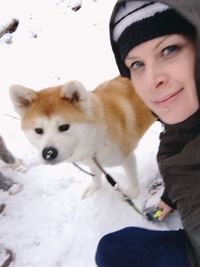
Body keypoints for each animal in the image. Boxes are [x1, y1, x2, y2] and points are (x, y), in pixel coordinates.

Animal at [9, 76, 155, 198]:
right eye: (38, 130)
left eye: (64, 127)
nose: (48, 153)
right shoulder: (92, 162)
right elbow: (96, 177)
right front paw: (94, 190)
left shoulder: (127, 158)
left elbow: (132, 178)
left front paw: (133, 194)